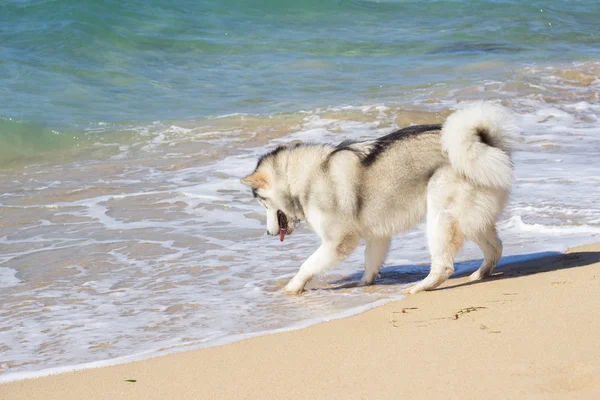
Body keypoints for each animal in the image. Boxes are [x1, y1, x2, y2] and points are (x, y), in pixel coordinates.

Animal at [241, 103, 512, 294]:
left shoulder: (338, 242)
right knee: (496, 247)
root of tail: (485, 143)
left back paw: (421, 286)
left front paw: (291, 288)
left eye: (262, 202)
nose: (267, 233)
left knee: (444, 265)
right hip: (471, 219)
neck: (305, 177)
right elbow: (371, 262)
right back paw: (479, 274)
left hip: (440, 216)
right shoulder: (377, 234)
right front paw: (363, 285)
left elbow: (307, 265)